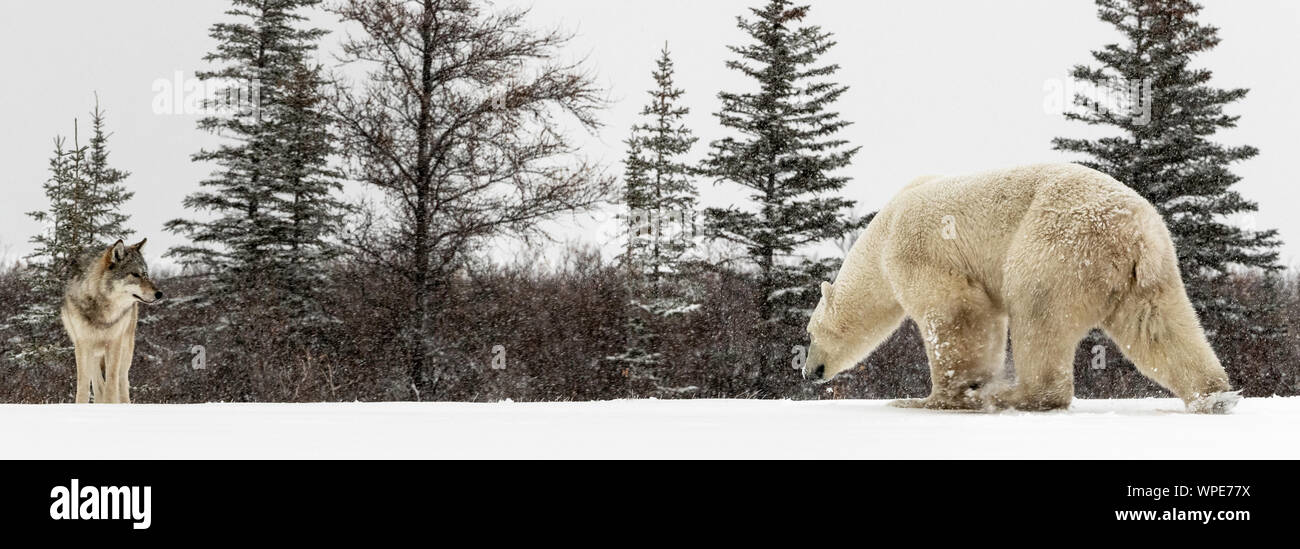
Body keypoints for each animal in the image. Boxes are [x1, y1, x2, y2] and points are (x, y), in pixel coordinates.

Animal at [61, 239, 163, 404]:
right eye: (135, 274)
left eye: (146, 274)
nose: (159, 293)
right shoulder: (82, 344)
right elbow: (83, 387)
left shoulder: (114, 342)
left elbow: (111, 383)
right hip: (94, 353)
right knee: (98, 386)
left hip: (126, 349)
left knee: (122, 381)